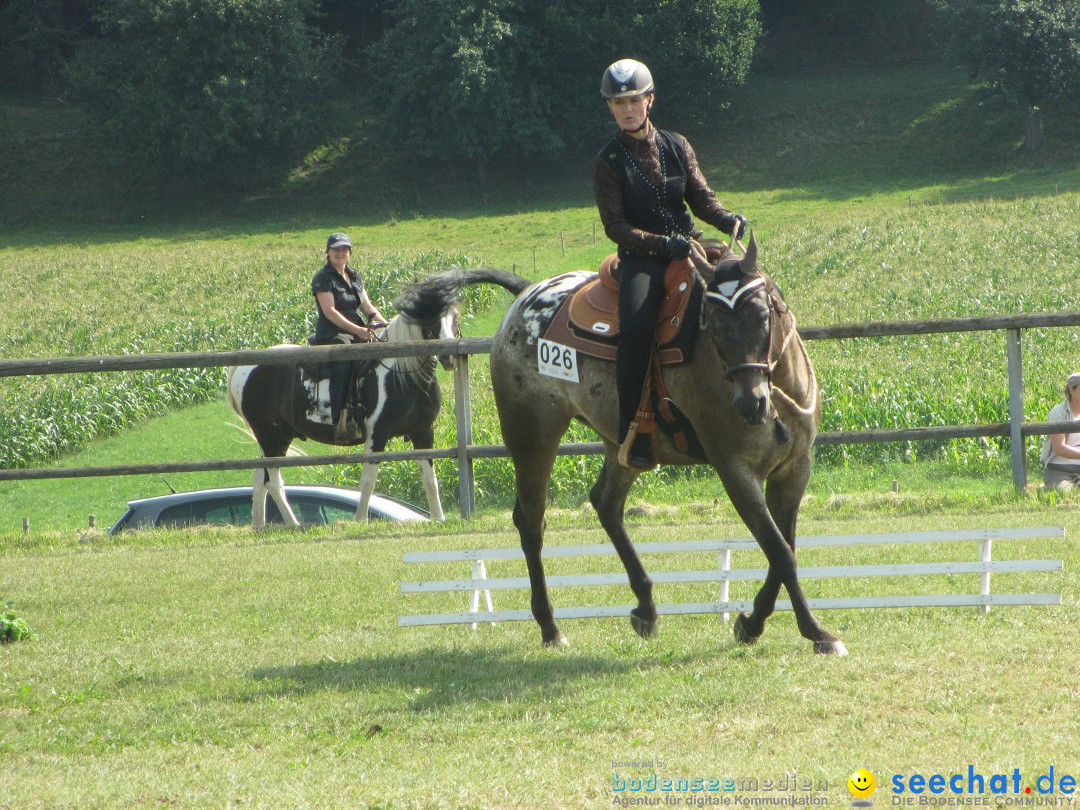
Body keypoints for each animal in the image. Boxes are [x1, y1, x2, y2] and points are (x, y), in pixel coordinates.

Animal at [225, 291, 462, 527]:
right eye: (429, 319)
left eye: (455, 316)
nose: (449, 356)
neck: (401, 373)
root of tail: (245, 367)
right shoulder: (377, 434)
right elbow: (368, 479)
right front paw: (360, 520)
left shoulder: (423, 432)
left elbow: (430, 479)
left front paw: (439, 518)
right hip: (273, 437)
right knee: (273, 481)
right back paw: (294, 524)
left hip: (271, 440)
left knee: (259, 478)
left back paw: (259, 526)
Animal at [408, 237, 846, 656]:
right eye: (713, 323)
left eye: (762, 315)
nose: (750, 403)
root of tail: (527, 293)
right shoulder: (735, 470)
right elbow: (781, 552)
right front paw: (816, 632)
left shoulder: (795, 469)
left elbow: (783, 549)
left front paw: (752, 623)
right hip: (532, 434)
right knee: (531, 522)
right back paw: (551, 627)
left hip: (623, 444)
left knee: (605, 504)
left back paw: (646, 608)